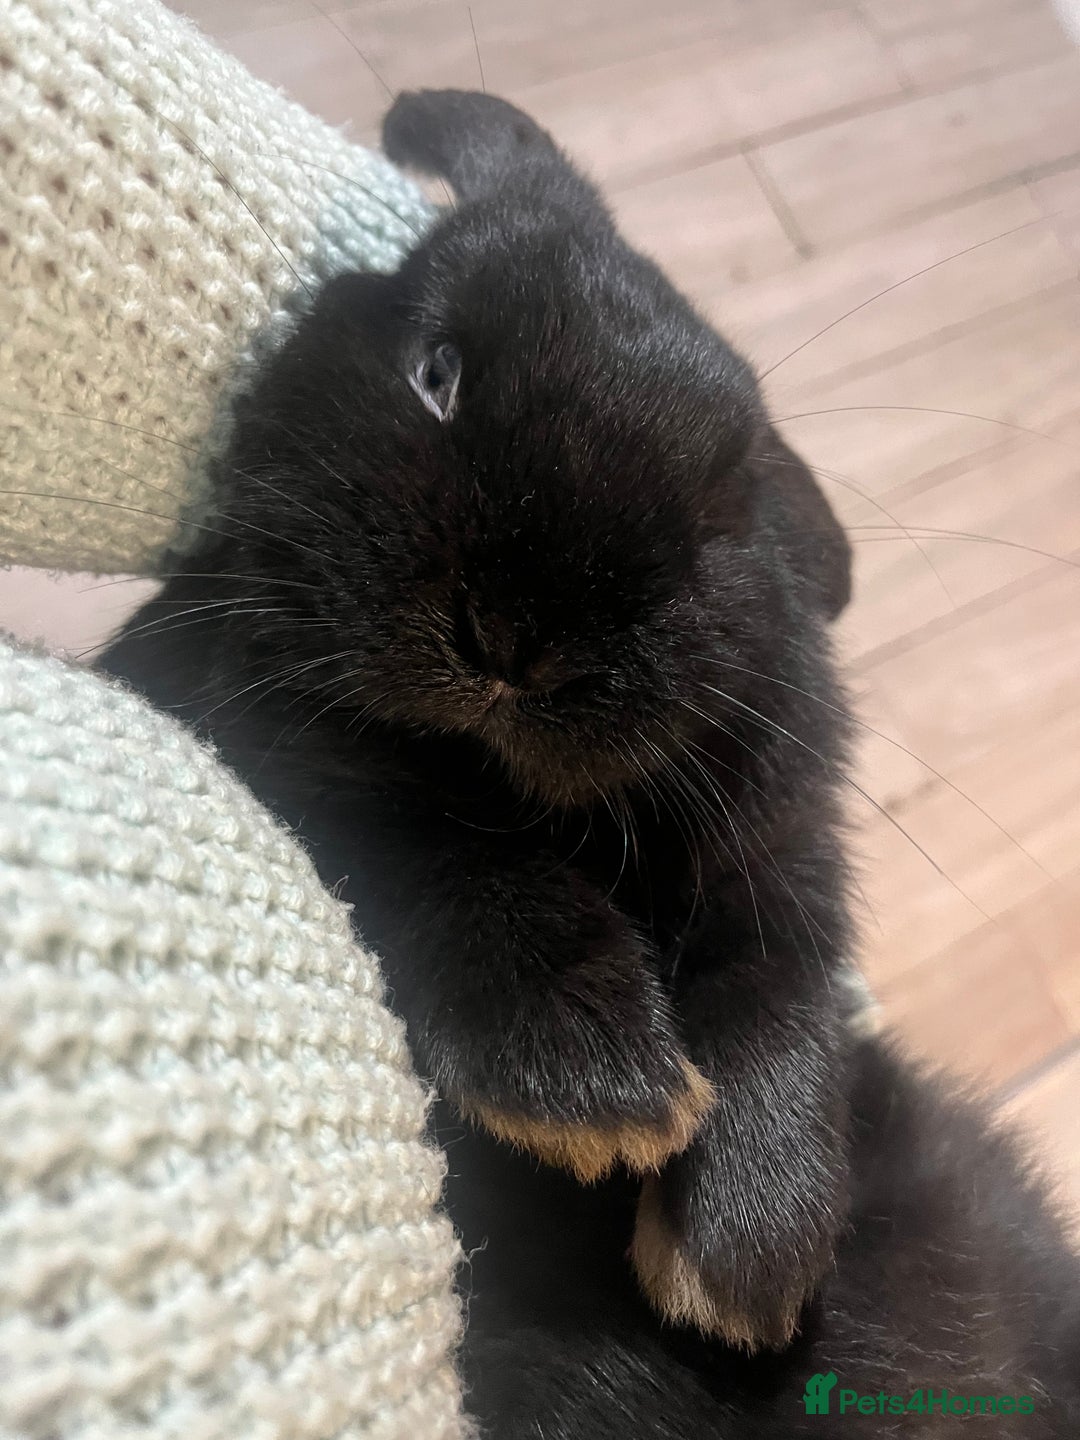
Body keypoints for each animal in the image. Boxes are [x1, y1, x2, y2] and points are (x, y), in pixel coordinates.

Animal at [101, 87, 865, 1357]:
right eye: (436, 371)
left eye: (728, 507)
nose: (518, 639)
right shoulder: (286, 758)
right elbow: (441, 860)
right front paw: (596, 1088)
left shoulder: (778, 858)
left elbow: (778, 991)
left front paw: (743, 1259)